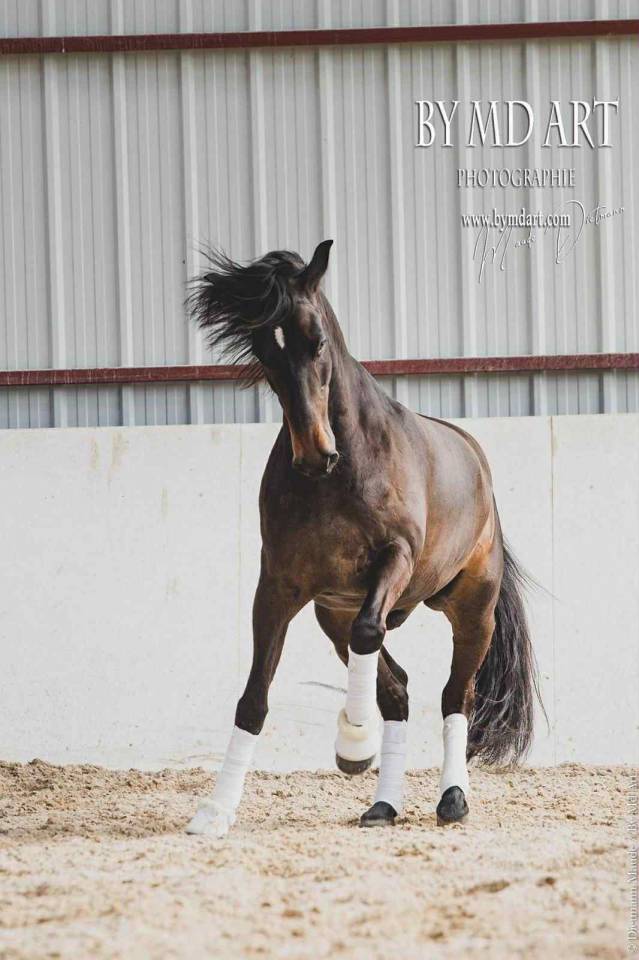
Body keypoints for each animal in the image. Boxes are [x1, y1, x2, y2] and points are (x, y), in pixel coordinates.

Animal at [185, 240, 541, 838]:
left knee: (455, 696)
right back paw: (384, 804)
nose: (314, 453)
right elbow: (255, 699)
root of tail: (474, 457)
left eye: (317, 341)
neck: (343, 471)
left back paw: (451, 798)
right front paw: (214, 812)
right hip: (333, 613)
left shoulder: (394, 560)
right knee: (396, 689)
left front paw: (354, 741)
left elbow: (370, 635)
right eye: (265, 352)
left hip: (474, 609)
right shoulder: (277, 588)